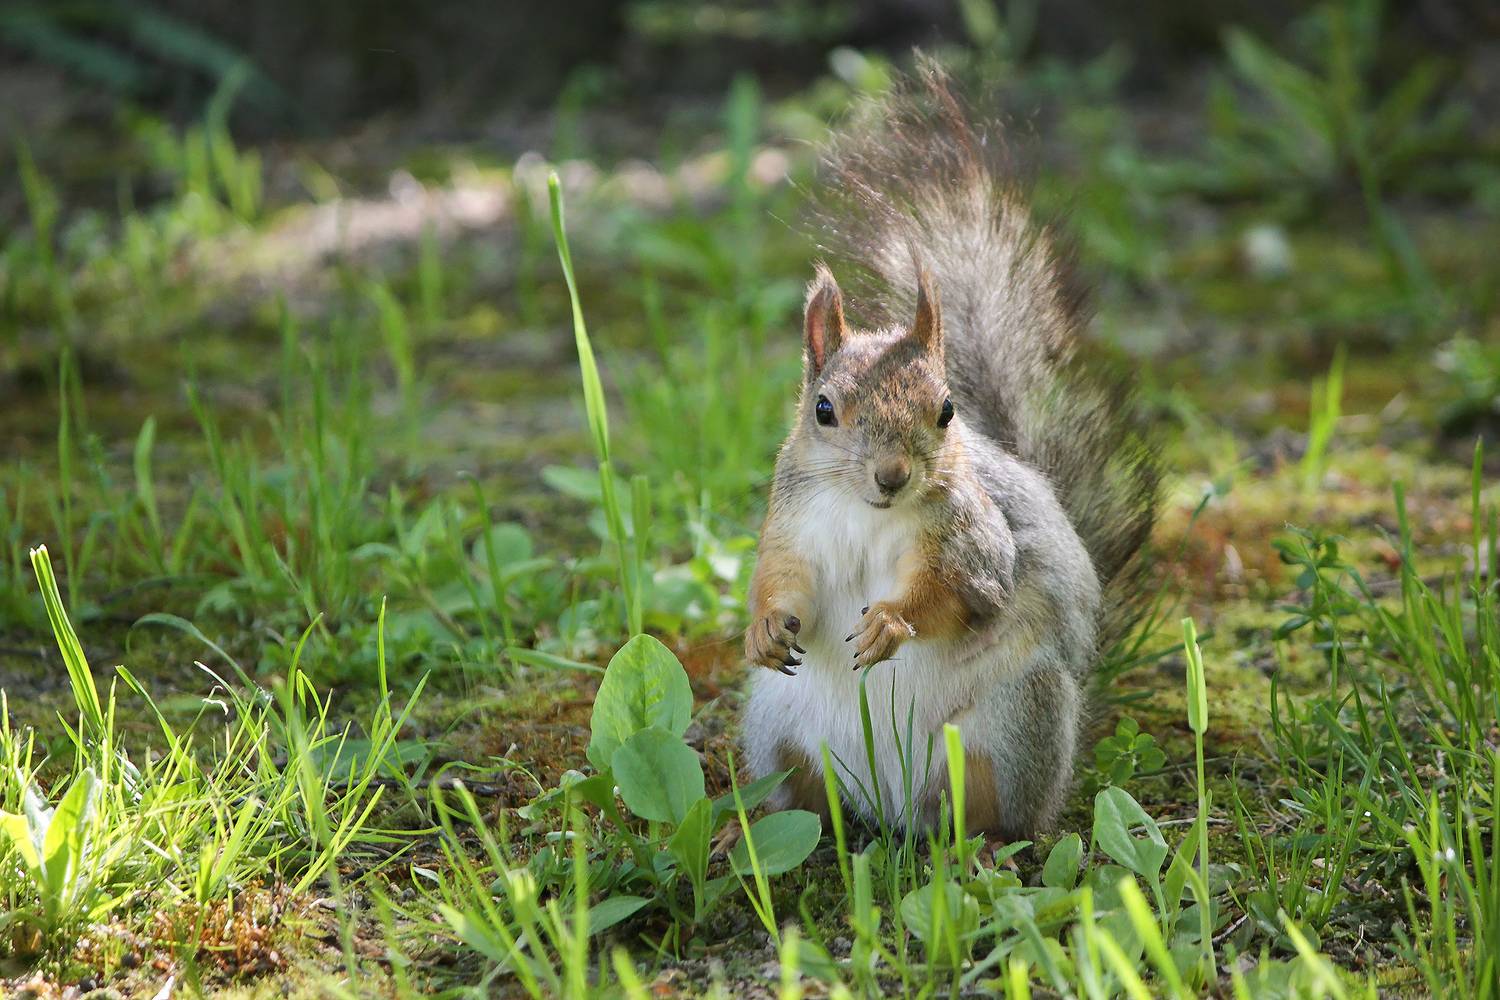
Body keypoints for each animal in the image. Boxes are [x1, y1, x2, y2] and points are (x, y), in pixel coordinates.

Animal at [742, 64, 1159, 840]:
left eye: (946, 410)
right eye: (823, 411)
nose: (892, 475)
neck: (866, 513)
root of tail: (889, 810)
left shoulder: (973, 538)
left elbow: (965, 592)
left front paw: (892, 622)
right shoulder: (793, 525)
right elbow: (781, 581)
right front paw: (761, 629)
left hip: (1015, 722)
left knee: (993, 810)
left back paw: (990, 845)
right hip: (775, 727)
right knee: (804, 805)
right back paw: (749, 827)